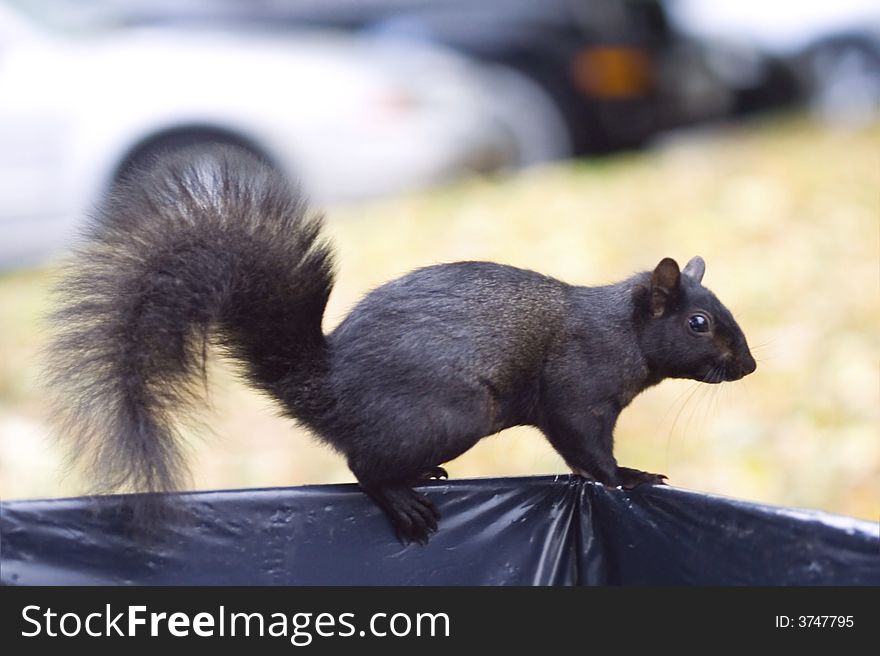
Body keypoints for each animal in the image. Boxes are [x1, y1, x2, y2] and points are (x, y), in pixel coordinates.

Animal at [44, 146, 752, 544]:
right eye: (698, 324)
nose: (746, 365)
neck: (620, 330)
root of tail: (325, 389)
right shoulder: (575, 390)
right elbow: (586, 450)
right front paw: (628, 476)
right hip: (452, 412)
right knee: (362, 465)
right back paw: (404, 499)